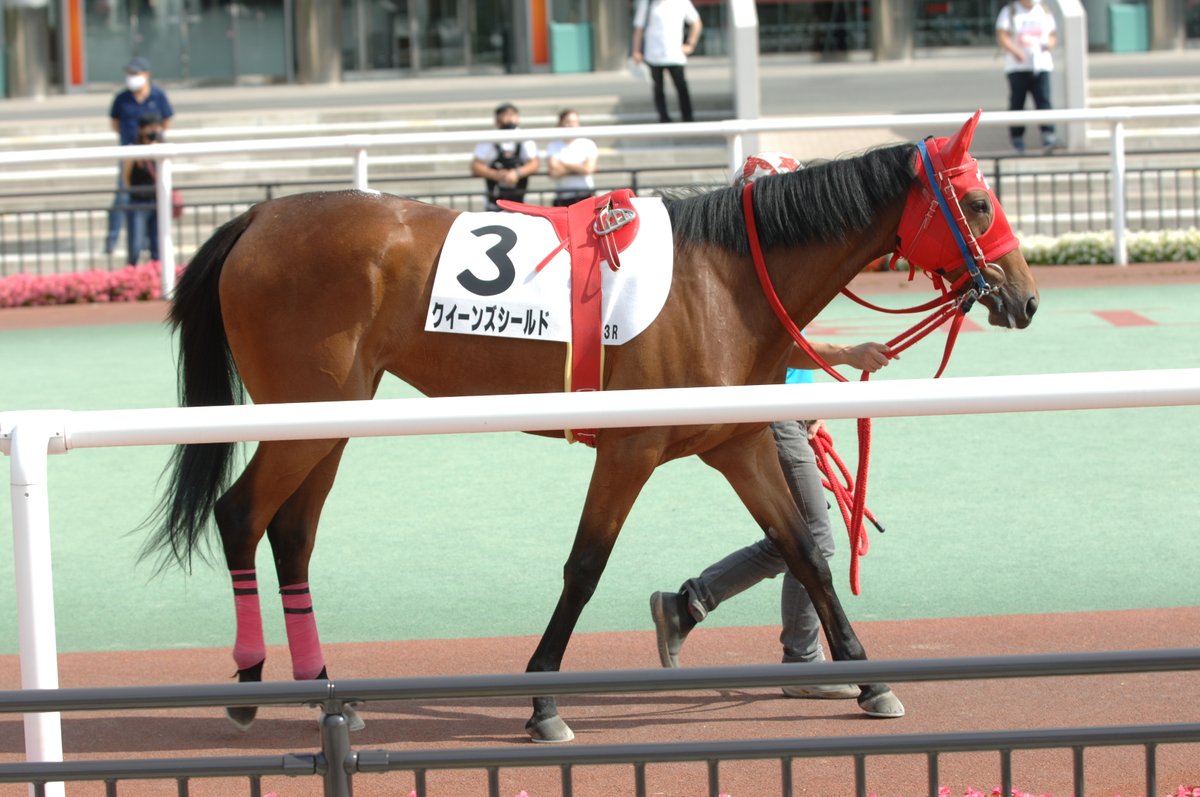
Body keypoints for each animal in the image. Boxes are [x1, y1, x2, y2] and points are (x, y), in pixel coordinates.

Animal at [145, 111, 1039, 743]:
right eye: (977, 202)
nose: (1025, 298)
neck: (725, 280)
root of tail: (254, 223)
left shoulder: (738, 442)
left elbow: (804, 552)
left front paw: (867, 675)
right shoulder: (630, 449)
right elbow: (584, 567)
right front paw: (542, 696)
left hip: (333, 417)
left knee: (291, 533)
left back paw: (321, 684)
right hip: (305, 415)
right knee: (240, 513)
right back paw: (250, 683)